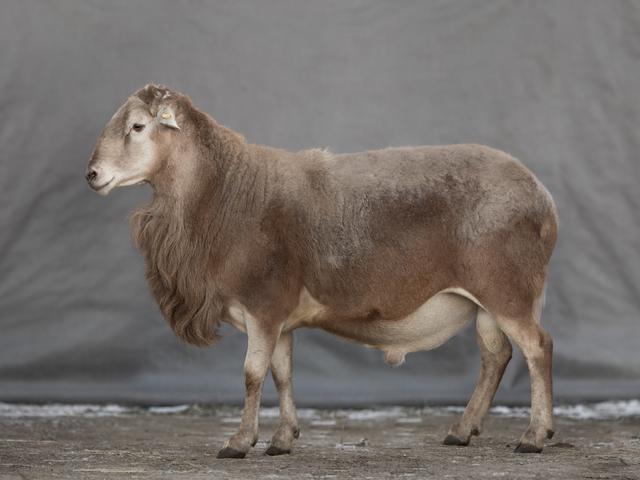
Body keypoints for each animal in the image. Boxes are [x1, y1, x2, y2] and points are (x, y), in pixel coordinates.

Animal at [86, 84, 558, 458]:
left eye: (137, 127)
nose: (92, 174)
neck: (225, 191)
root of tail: (543, 199)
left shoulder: (263, 305)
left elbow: (252, 375)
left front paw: (239, 442)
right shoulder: (280, 318)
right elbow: (282, 374)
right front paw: (282, 440)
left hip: (508, 290)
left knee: (537, 348)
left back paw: (534, 436)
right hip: (486, 302)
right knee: (495, 356)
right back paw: (461, 431)